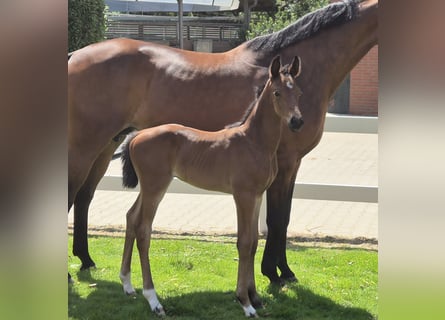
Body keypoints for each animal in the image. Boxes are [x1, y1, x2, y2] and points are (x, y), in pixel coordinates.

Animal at [67, 0, 376, 284]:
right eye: (278, 93)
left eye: (297, 92)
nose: (296, 121)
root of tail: (74, 56)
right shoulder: (285, 162)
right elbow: (276, 219)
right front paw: (274, 273)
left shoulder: (291, 164)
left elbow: (284, 217)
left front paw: (283, 271)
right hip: (84, 147)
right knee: (71, 195)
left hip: (106, 145)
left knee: (84, 197)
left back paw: (86, 259)